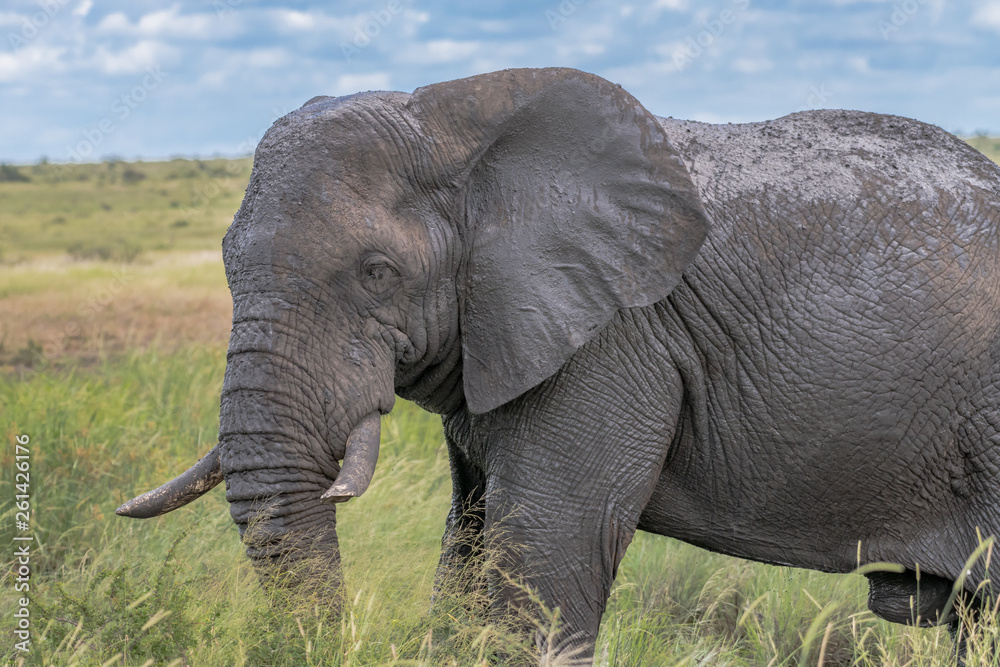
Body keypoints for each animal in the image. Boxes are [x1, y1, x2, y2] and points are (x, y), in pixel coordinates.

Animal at [118, 67, 1000, 660]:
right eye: (226, 259)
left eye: (376, 272)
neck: (456, 124)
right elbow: (469, 542)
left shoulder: (613, 339)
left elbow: (543, 548)